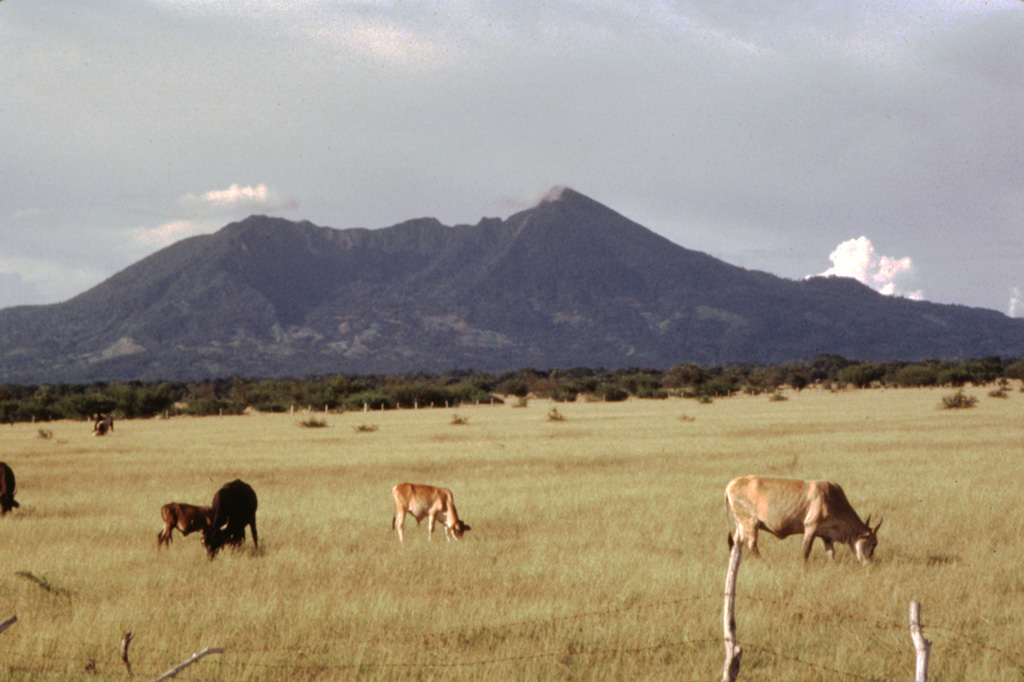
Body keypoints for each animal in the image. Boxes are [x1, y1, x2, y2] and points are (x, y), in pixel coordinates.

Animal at [724, 473, 884, 561]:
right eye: (873, 543)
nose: (869, 562)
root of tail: (733, 483)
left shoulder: (826, 536)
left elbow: (831, 554)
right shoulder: (810, 527)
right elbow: (805, 551)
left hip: (741, 525)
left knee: (737, 544)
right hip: (750, 524)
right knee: (751, 545)